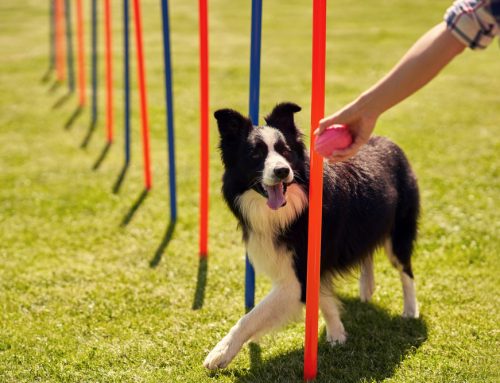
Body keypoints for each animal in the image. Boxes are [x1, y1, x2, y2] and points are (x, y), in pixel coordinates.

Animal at [203, 102, 418, 368]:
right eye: (255, 155)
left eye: (285, 151)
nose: (282, 171)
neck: (290, 211)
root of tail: (388, 141)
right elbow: (323, 298)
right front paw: (337, 333)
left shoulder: (297, 276)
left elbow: (252, 317)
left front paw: (220, 352)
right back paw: (367, 289)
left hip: (400, 230)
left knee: (406, 269)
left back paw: (410, 310)